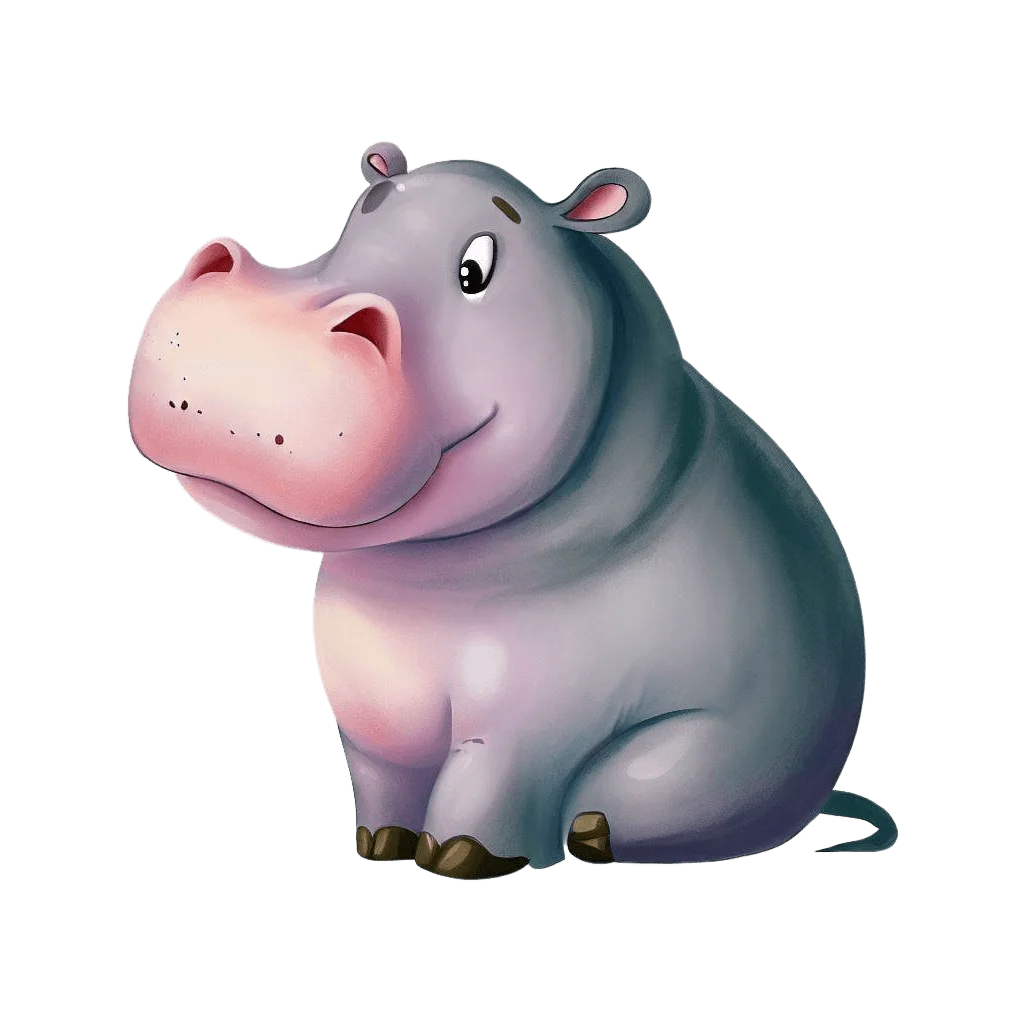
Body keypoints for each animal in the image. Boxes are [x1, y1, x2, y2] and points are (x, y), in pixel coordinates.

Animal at [127, 141, 896, 879]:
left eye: (477, 268)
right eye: (359, 217)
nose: (257, 336)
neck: (418, 587)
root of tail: (821, 787)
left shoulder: (536, 716)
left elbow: (487, 778)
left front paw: (461, 857)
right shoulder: (369, 716)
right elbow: (382, 782)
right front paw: (377, 846)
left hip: (689, 762)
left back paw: (590, 835)